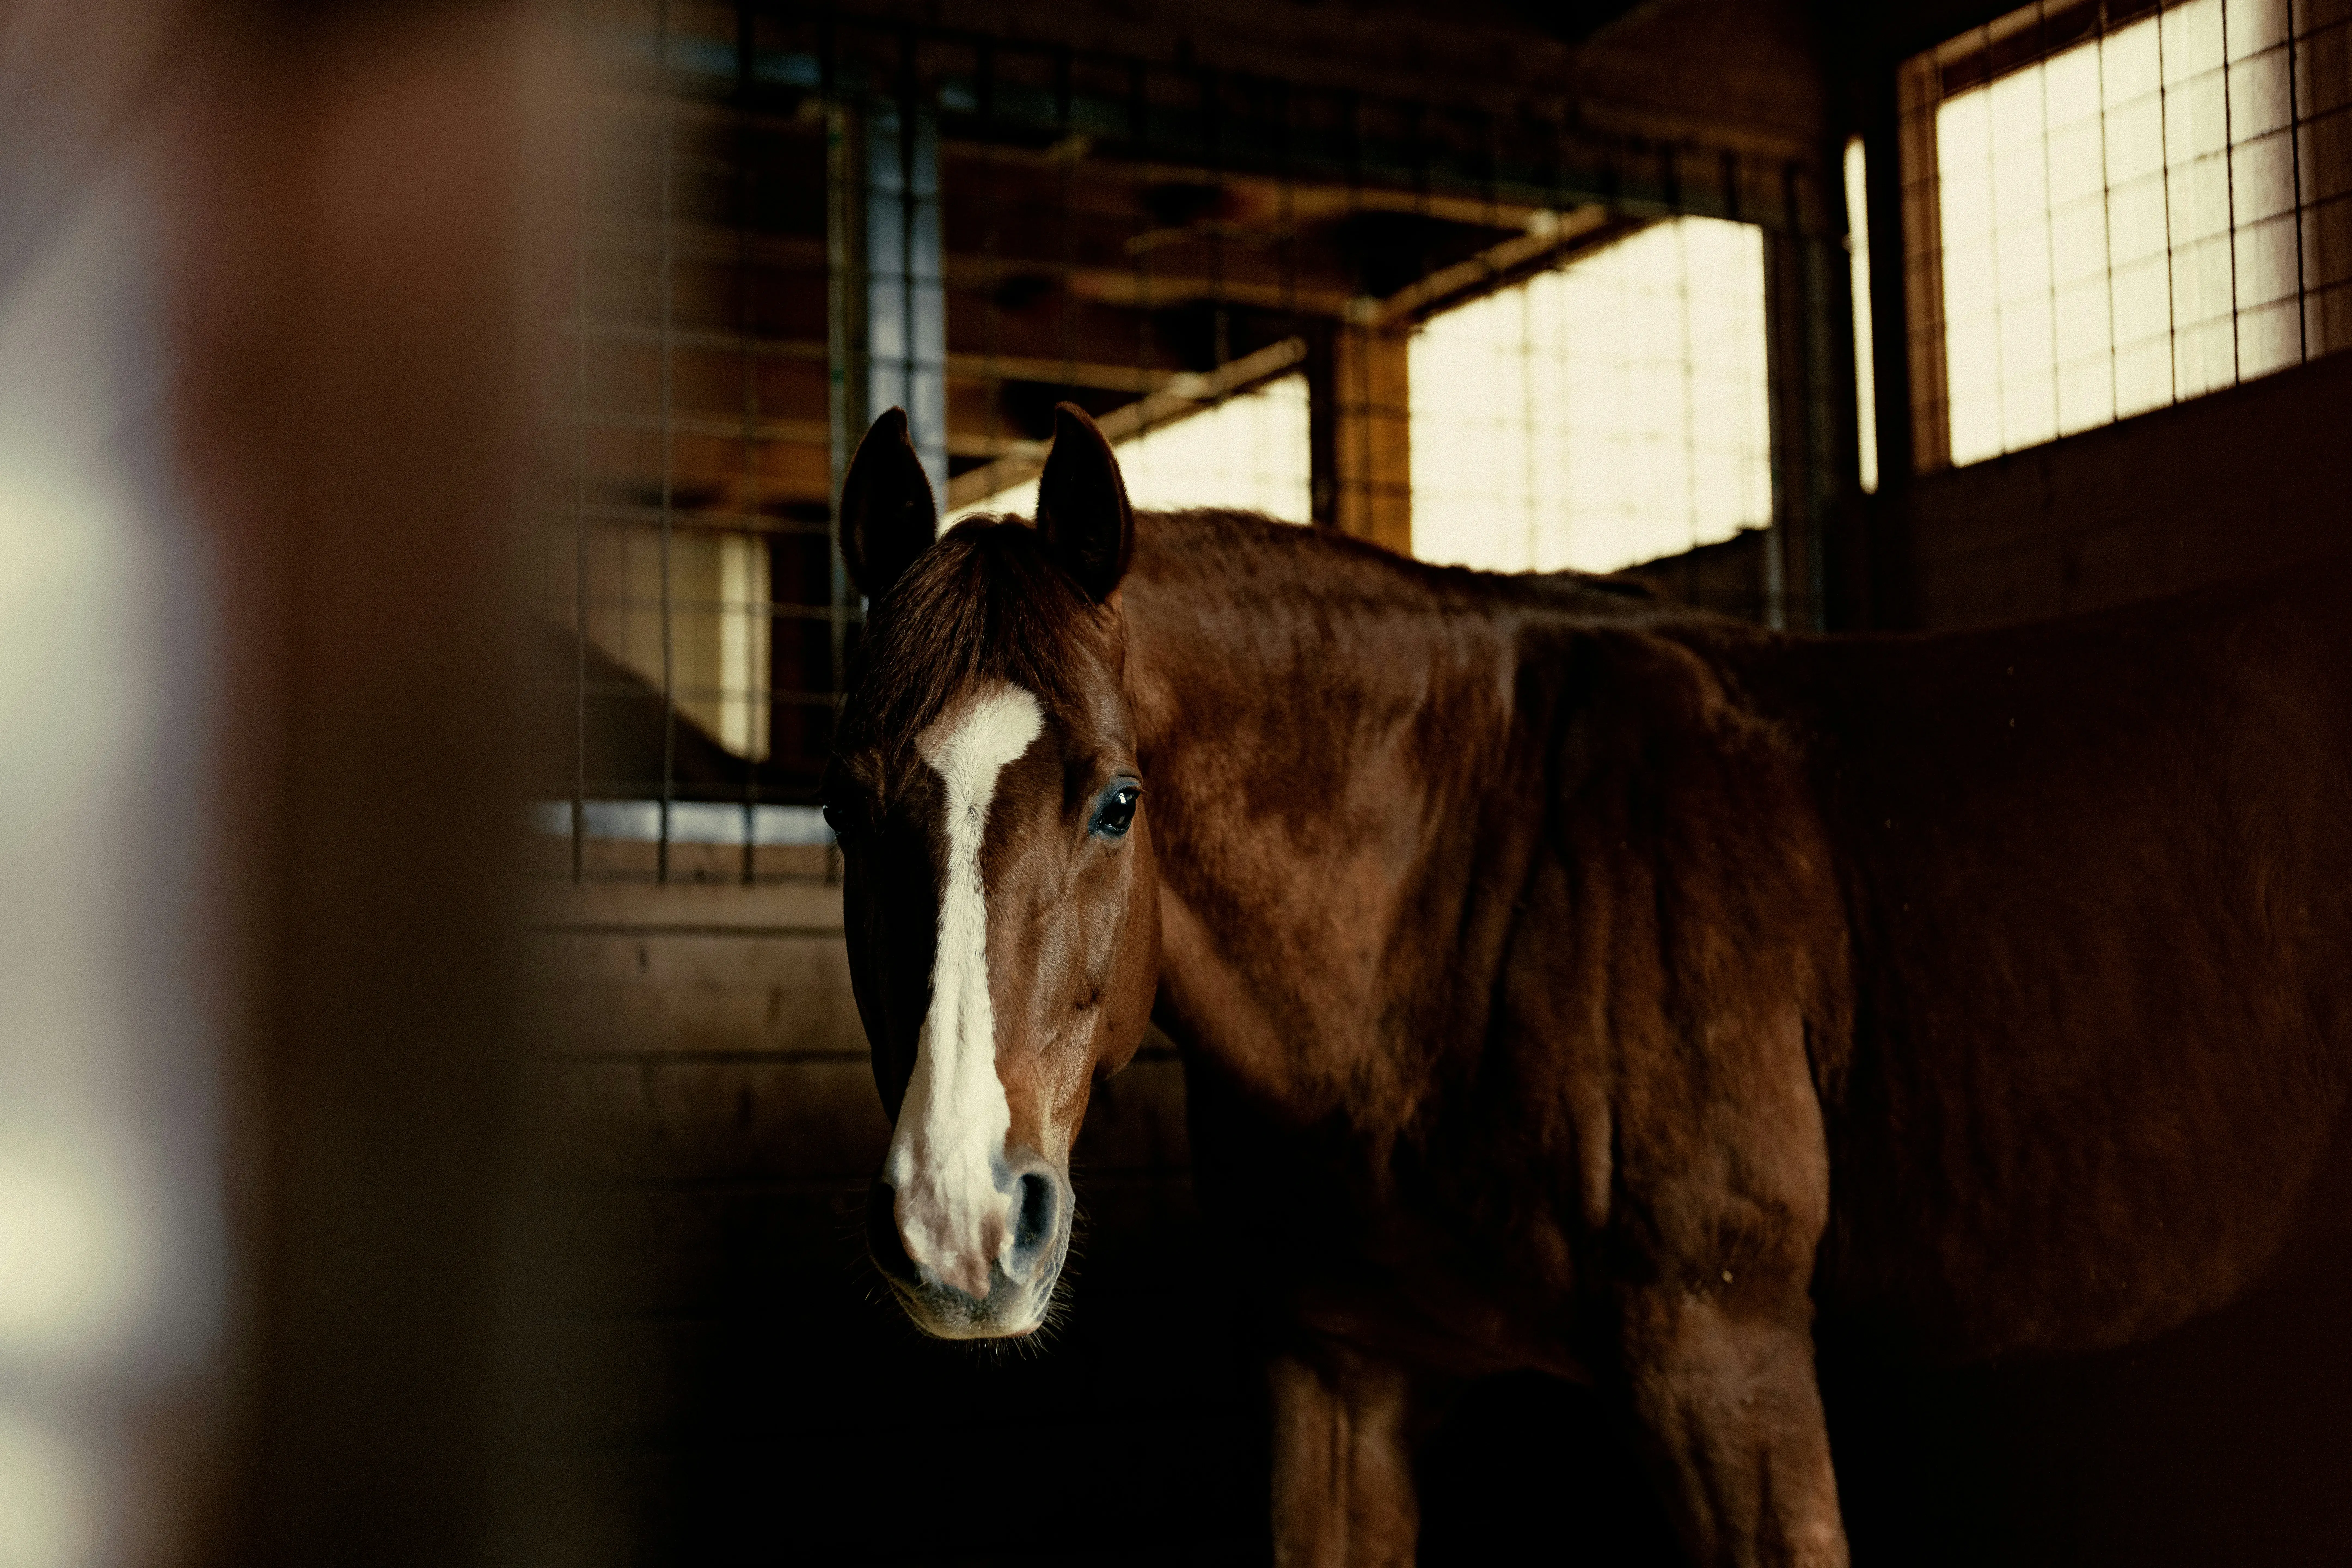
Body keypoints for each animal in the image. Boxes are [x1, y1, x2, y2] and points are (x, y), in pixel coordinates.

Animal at [822, 401, 2352, 1566]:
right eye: (842, 809)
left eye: (1117, 802)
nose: (959, 1225)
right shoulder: (1336, 1375)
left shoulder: (1722, 1365)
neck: (1461, 883)